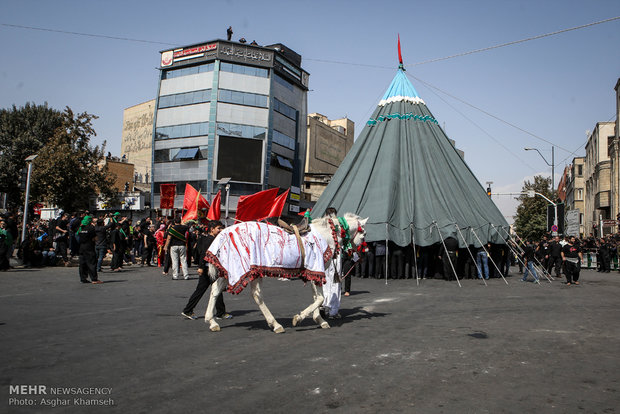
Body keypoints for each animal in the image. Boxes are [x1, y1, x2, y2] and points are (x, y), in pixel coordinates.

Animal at [203, 213, 368, 334]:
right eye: (364, 234)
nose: (364, 252)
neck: (326, 234)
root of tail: (224, 233)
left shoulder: (313, 273)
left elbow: (317, 297)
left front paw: (320, 320)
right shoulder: (316, 270)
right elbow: (320, 298)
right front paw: (299, 318)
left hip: (230, 271)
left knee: (216, 289)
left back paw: (211, 322)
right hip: (251, 270)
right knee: (256, 295)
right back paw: (275, 324)